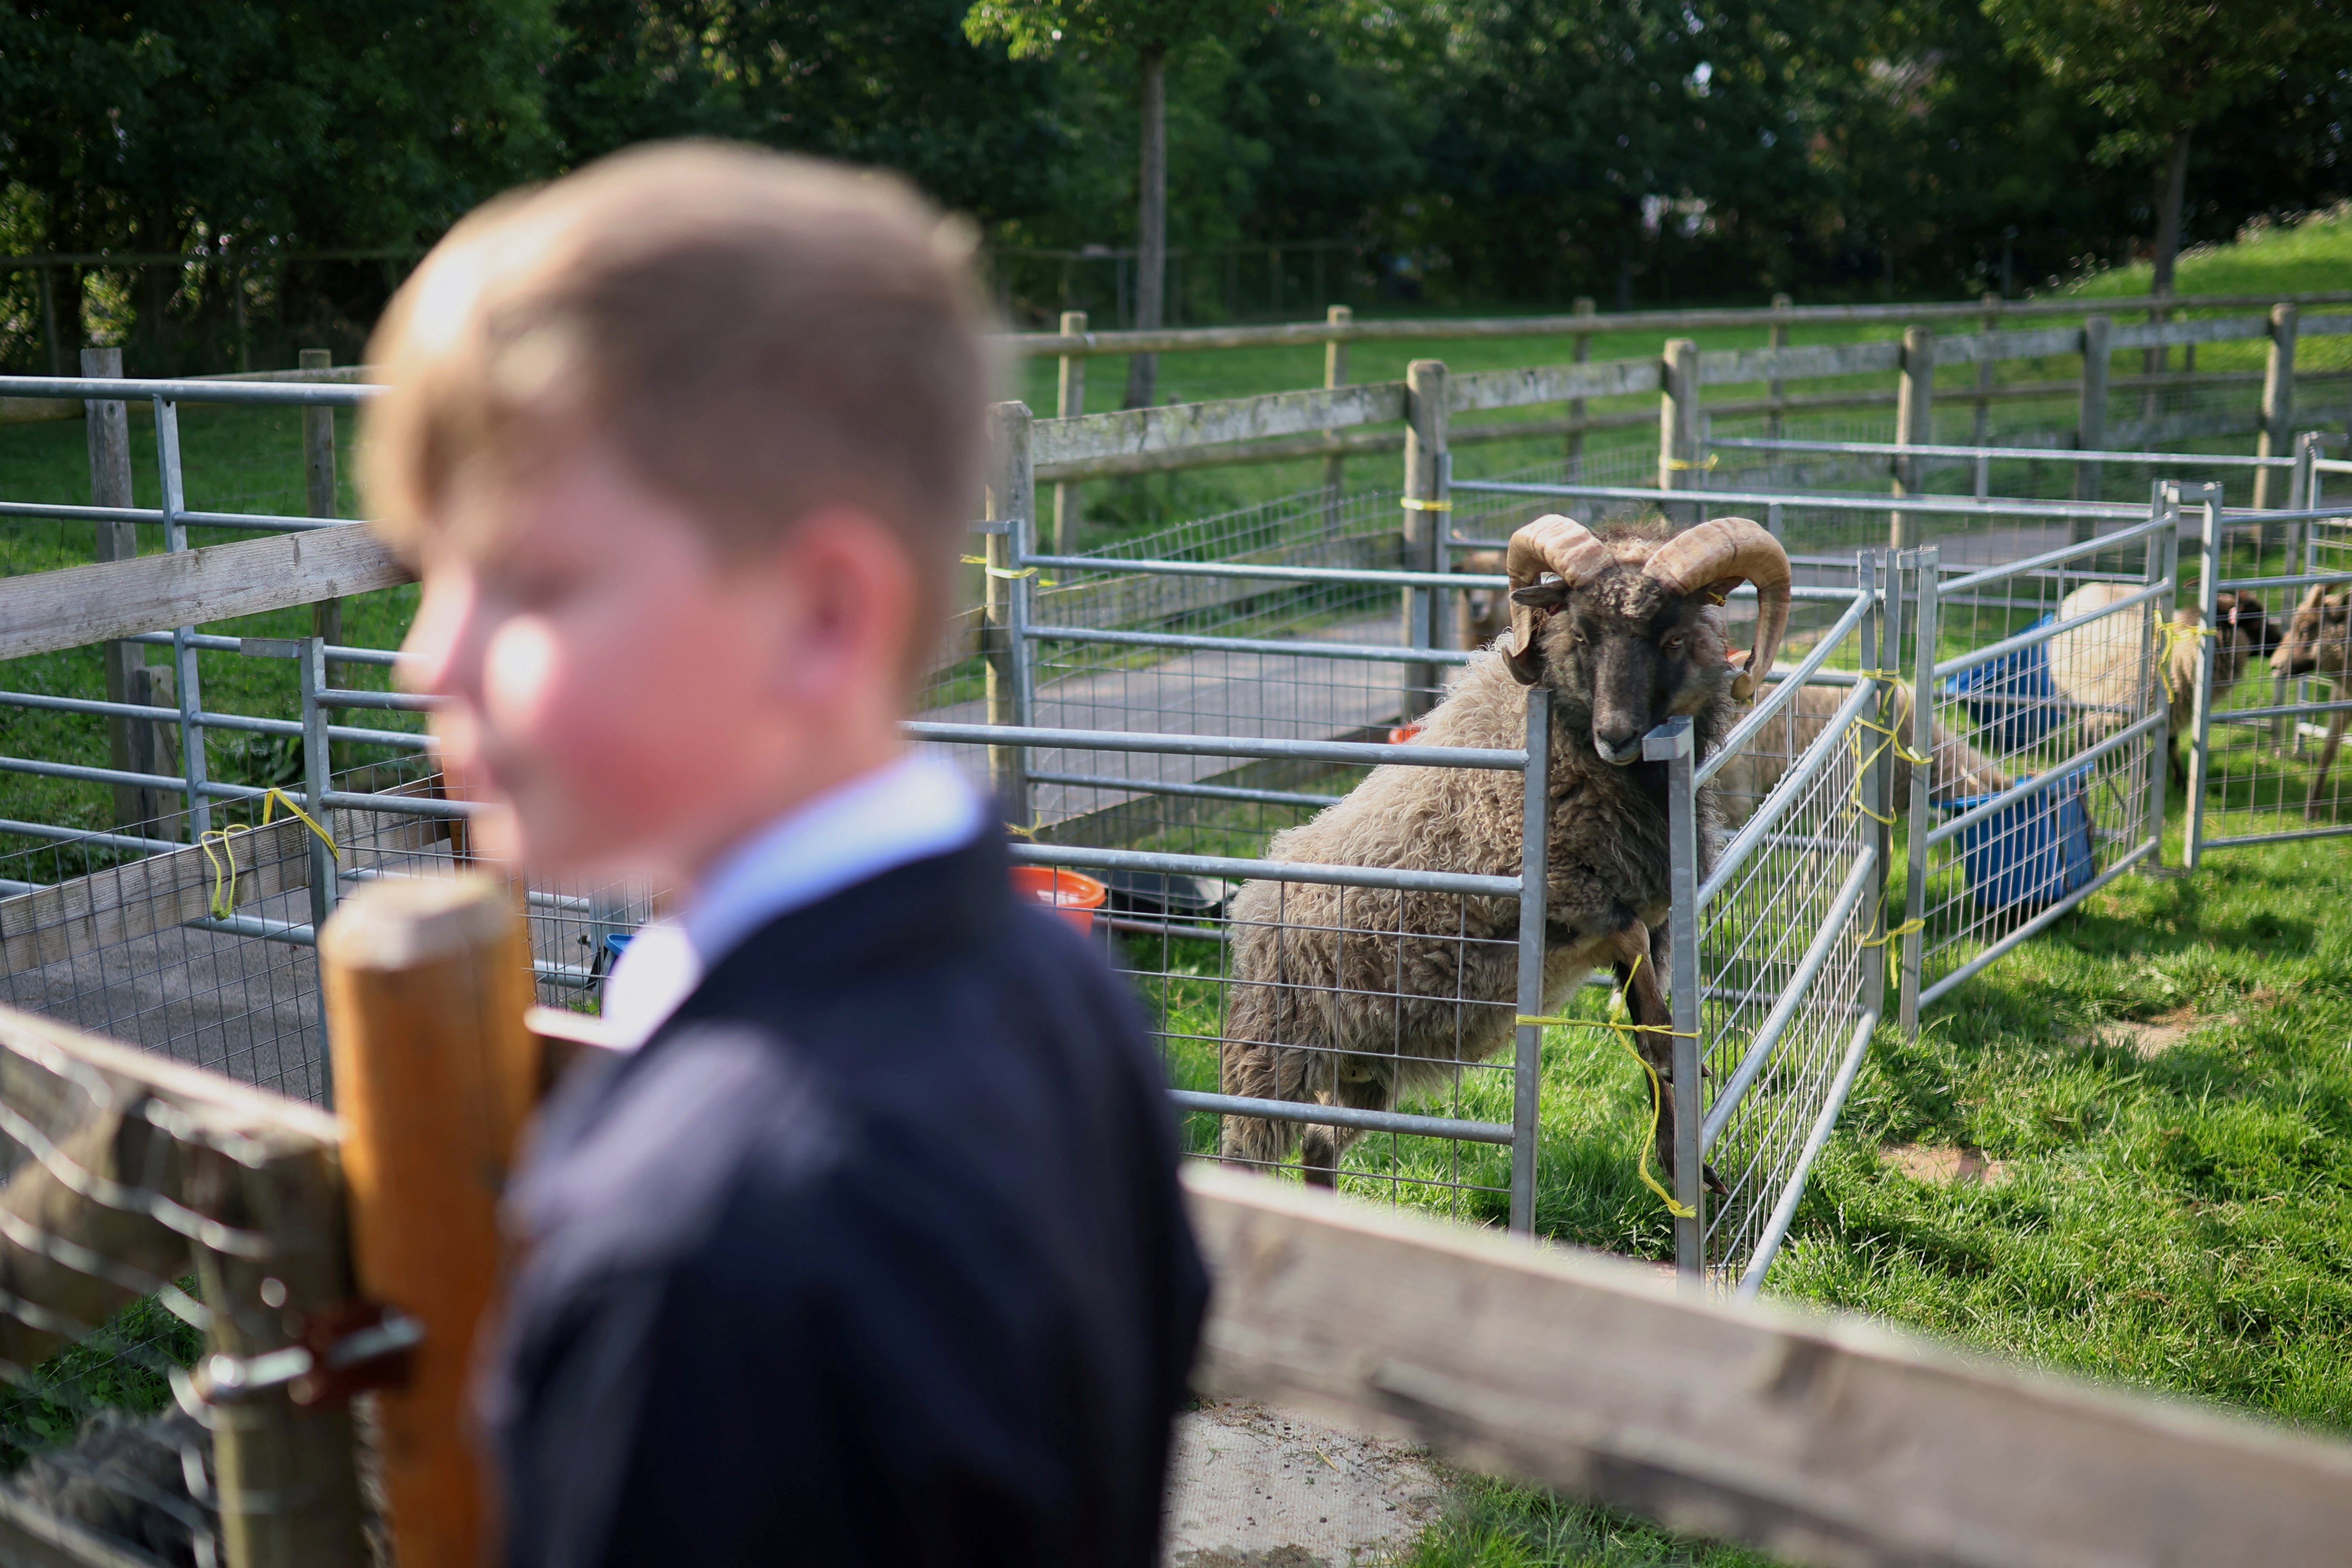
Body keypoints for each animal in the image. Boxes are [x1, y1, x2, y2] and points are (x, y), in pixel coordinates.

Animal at [1223, 514, 1787, 1189]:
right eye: (1582, 634)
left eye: (1674, 637)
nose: (1616, 735)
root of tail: (1249, 906)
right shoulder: (1548, 884)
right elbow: (1624, 940)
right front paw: (1668, 1053)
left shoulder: (1652, 921)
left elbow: (1638, 997)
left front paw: (1680, 1156)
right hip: (1272, 1051)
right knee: (1246, 1152)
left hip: (1367, 1071)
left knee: (1318, 1146)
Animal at [2051, 583, 2267, 785]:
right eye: (2255, 620)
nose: (2276, 645)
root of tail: (2091, 586)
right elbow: (2116, 743)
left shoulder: (2171, 712)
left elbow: (2171, 744)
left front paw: (2180, 781)